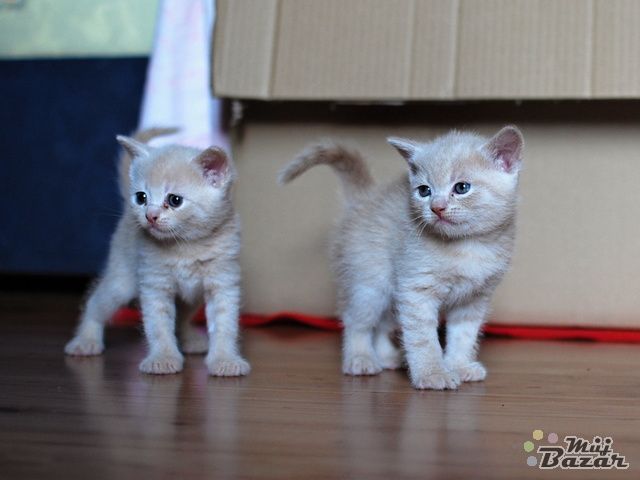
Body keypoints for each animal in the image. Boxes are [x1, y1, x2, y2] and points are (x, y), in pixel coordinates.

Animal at [65, 129, 250, 377]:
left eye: (174, 200)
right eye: (141, 197)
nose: (149, 216)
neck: (186, 246)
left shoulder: (223, 283)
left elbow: (224, 325)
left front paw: (224, 360)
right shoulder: (154, 284)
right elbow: (159, 326)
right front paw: (163, 358)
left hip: (192, 297)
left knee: (182, 316)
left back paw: (190, 340)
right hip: (121, 282)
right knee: (95, 303)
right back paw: (85, 341)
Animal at [279, 126, 523, 390]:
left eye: (461, 188)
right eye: (424, 190)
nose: (436, 207)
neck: (468, 247)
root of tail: (366, 197)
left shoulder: (474, 298)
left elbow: (463, 335)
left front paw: (459, 365)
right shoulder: (416, 291)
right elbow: (422, 337)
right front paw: (432, 373)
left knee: (382, 324)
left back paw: (387, 358)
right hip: (370, 285)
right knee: (357, 322)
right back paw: (360, 358)